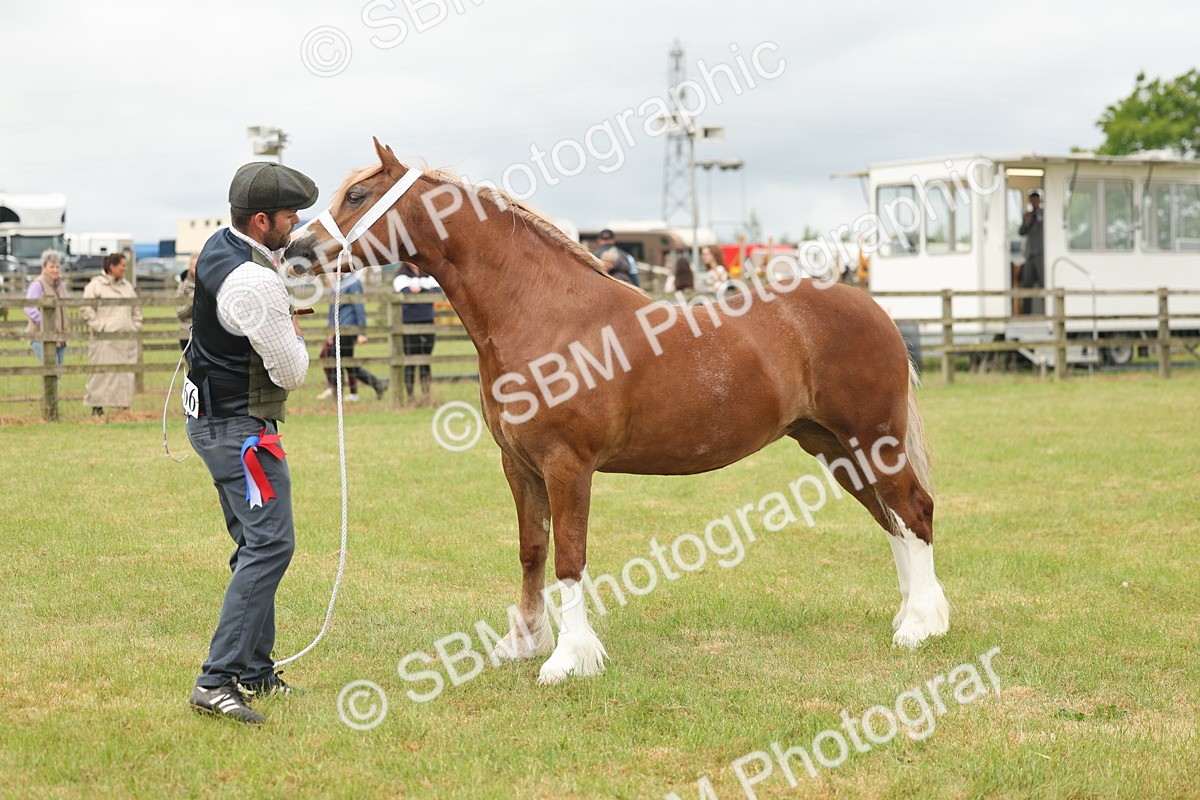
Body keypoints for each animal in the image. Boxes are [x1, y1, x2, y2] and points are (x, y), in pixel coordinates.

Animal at [284, 139, 950, 685]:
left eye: (358, 194)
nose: (295, 249)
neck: (542, 310)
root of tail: (877, 311)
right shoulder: (519, 466)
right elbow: (533, 551)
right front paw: (522, 643)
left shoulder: (567, 465)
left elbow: (570, 558)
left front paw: (568, 659)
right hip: (834, 446)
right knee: (891, 519)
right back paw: (910, 616)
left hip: (873, 439)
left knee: (914, 510)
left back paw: (921, 626)